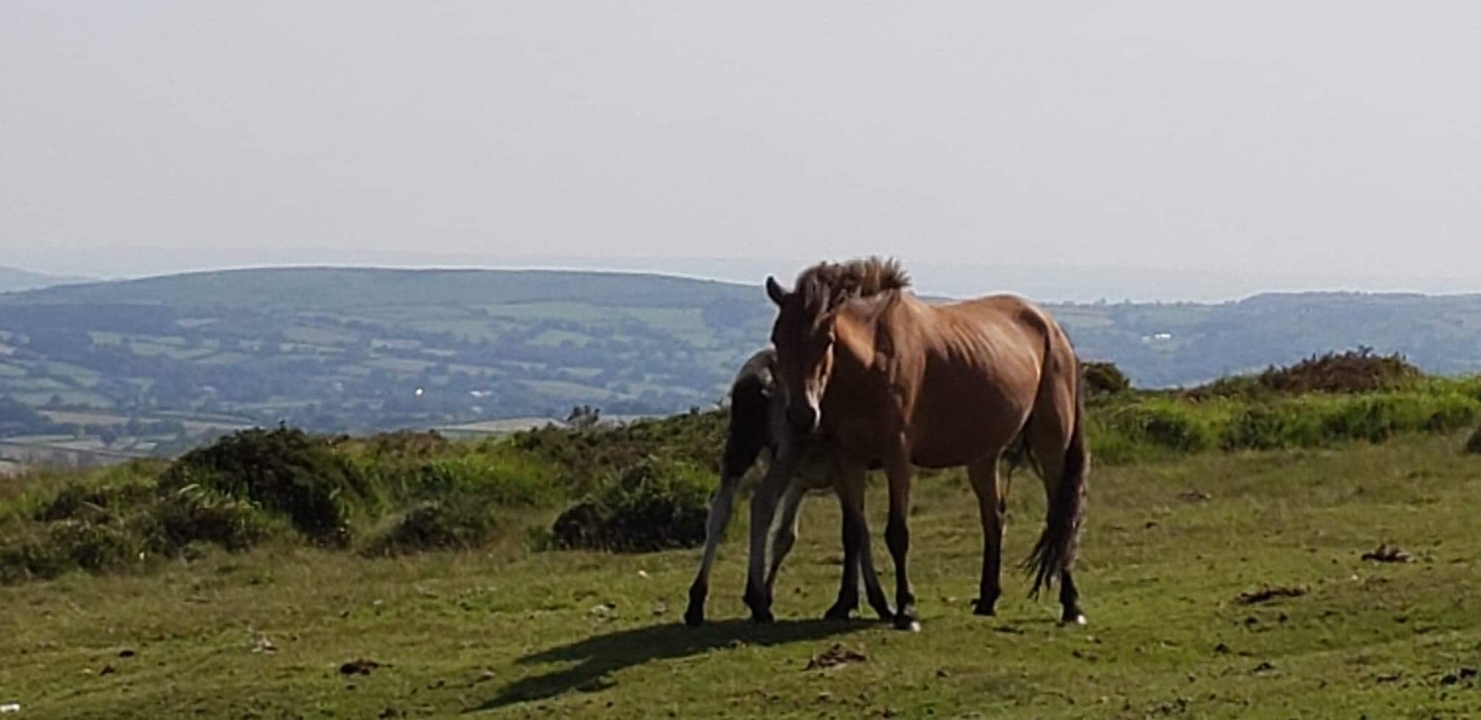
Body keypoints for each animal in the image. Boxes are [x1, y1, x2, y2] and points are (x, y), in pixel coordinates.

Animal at [684, 346, 894, 627]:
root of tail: (759, 378)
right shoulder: (844, 470)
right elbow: (858, 532)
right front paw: (873, 601)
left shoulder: (801, 482)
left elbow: (786, 535)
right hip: (786, 451)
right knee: (761, 502)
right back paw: (756, 600)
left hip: (738, 448)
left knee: (720, 512)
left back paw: (697, 601)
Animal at [760, 256, 1090, 631]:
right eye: (777, 338)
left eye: (827, 339)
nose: (802, 415)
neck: (873, 358)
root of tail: (1052, 328)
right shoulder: (849, 459)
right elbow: (853, 533)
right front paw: (842, 605)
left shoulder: (897, 457)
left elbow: (897, 533)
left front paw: (906, 610)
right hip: (983, 456)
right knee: (993, 516)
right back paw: (987, 599)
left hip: (1052, 443)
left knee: (1061, 515)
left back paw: (1071, 605)